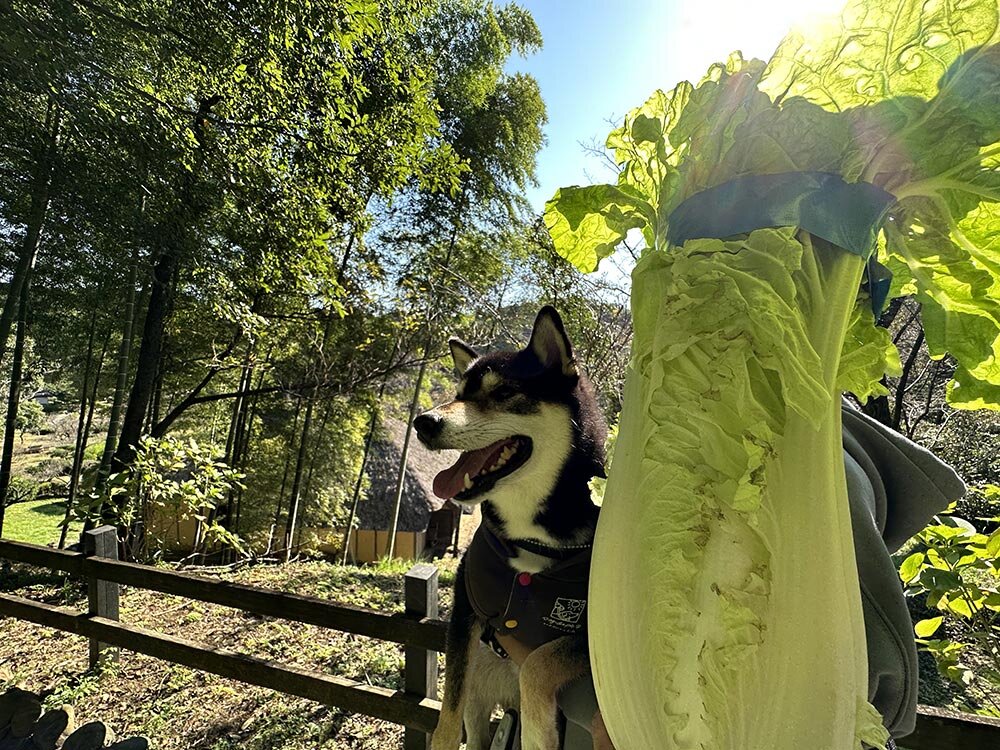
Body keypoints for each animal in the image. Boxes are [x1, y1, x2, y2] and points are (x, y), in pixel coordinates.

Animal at [412, 306, 608, 750]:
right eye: (459, 393)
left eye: (502, 394)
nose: (423, 422)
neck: (527, 533)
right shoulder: (465, 611)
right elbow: (447, 713)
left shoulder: (588, 635)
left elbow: (537, 662)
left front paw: (538, 733)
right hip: (480, 690)